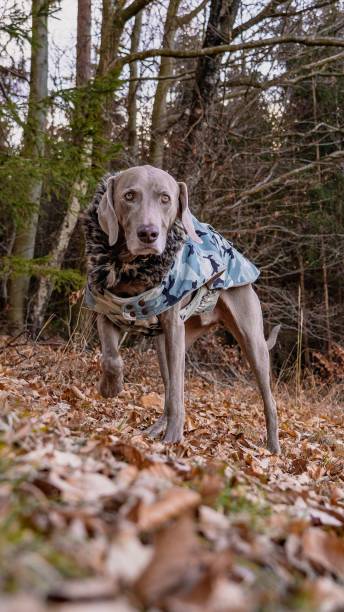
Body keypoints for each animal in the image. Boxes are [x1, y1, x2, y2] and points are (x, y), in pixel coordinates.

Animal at [82, 165, 280, 452]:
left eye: (165, 198)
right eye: (129, 196)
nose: (148, 233)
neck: (134, 268)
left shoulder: (174, 326)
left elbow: (177, 391)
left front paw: (174, 438)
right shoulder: (107, 312)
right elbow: (111, 357)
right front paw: (110, 387)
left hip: (251, 339)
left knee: (268, 399)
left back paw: (274, 447)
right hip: (168, 342)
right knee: (167, 386)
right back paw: (154, 429)